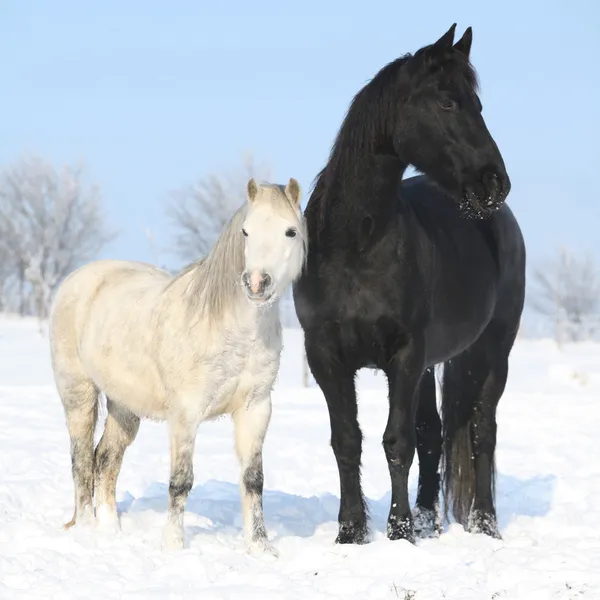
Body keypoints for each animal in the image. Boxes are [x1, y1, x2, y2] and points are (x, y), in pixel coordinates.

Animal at [49, 177, 308, 552]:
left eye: (290, 231)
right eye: (245, 231)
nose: (257, 282)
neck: (230, 330)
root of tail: (78, 279)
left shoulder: (255, 409)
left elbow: (253, 479)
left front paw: (260, 548)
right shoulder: (186, 414)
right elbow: (181, 480)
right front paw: (173, 545)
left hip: (124, 407)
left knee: (106, 460)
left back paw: (110, 531)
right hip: (78, 395)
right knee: (82, 460)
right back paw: (86, 528)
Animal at [294, 25, 524, 548]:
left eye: (478, 104)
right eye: (447, 103)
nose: (494, 183)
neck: (356, 244)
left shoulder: (405, 353)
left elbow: (397, 441)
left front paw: (398, 533)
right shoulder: (325, 353)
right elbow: (348, 440)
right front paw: (352, 531)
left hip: (490, 352)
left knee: (481, 432)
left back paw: (483, 525)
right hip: (431, 365)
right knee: (435, 433)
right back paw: (428, 520)